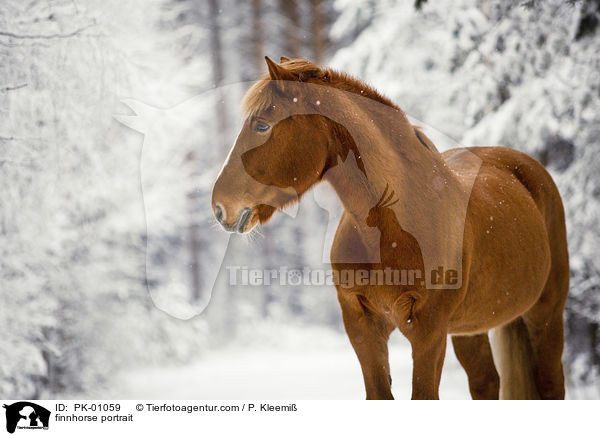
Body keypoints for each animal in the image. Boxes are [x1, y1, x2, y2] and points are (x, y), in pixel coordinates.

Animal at [211, 57, 568, 398]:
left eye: (261, 125)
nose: (219, 206)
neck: (389, 227)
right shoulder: (363, 326)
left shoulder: (428, 334)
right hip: (470, 329)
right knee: (486, 382)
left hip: (546, 314)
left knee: (551, 384)